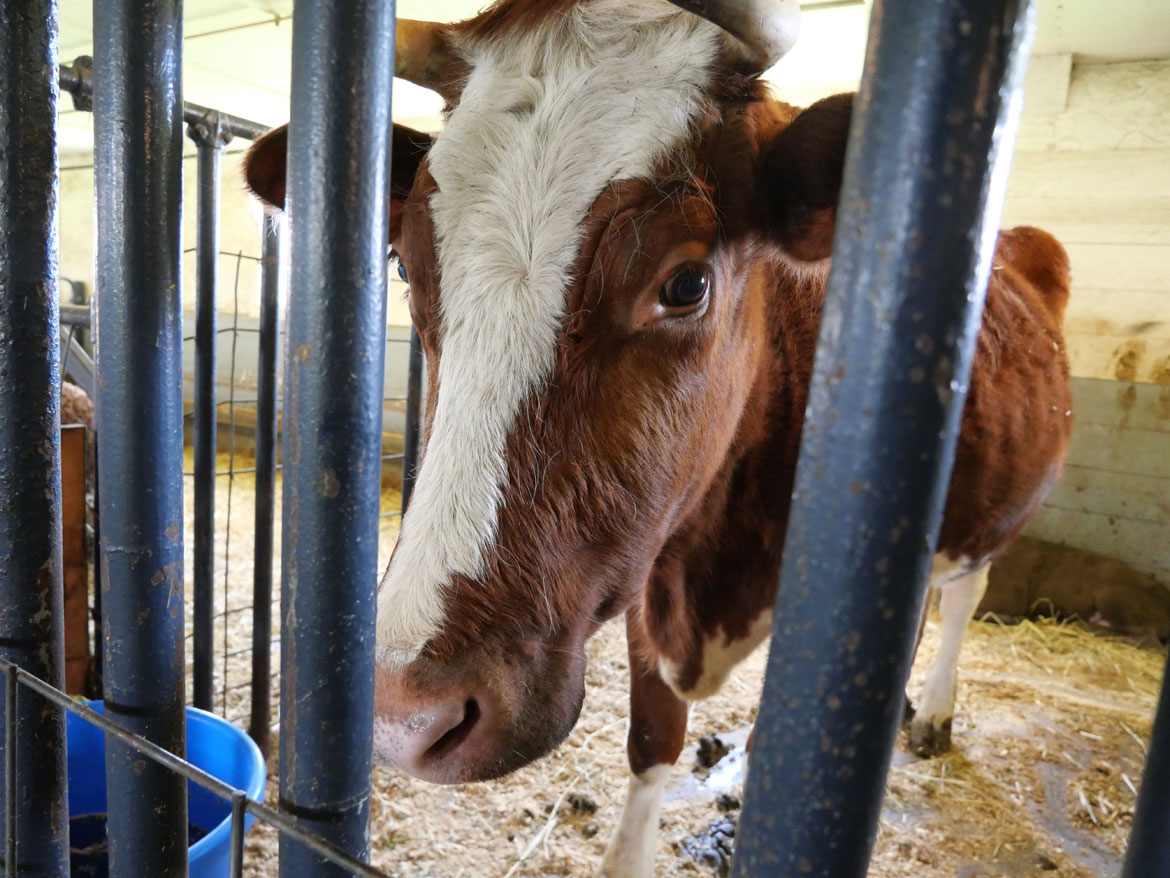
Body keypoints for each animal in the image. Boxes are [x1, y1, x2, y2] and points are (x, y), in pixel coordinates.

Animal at [243, 1, 1073, 873]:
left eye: (685, 283)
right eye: (405, 268)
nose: (405, 712)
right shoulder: (646, 573)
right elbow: (652, 738)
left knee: (968, 592)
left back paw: (936, 714)